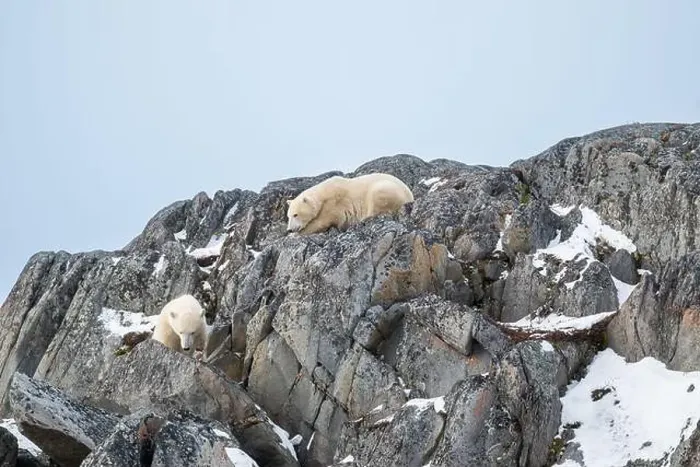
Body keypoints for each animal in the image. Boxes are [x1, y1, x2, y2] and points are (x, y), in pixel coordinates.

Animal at [286, 172, 414, 235]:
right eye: (288, 216)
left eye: (295, 214)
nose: (289, 230)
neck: (322, 194)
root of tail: (410, 195)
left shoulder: (333, 204)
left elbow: (322, 222)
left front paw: (294, 235)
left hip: (387, 189)